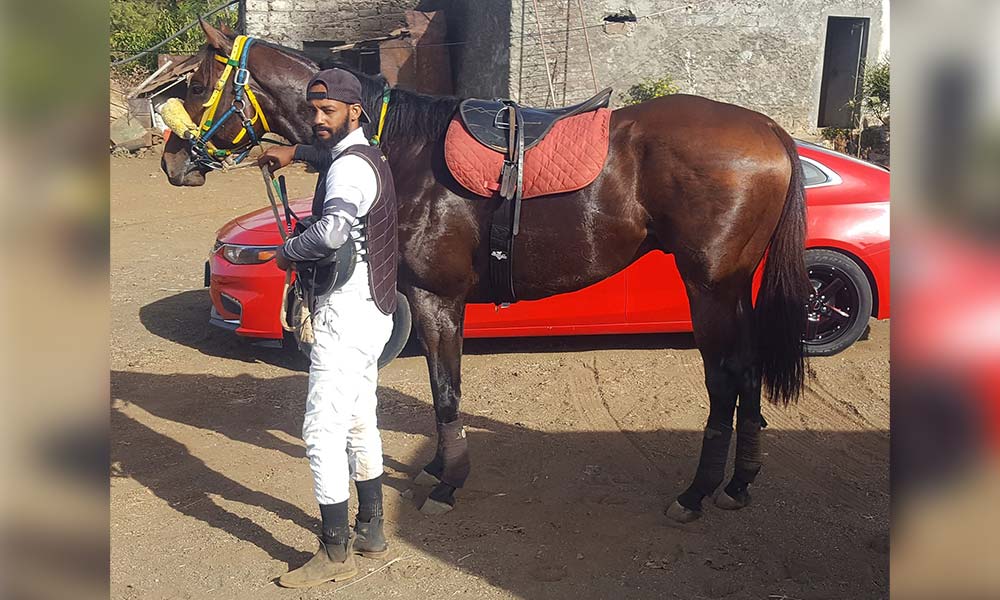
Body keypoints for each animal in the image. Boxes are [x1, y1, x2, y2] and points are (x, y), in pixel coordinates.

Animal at [160, 21, 808, 524]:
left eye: (196, 84)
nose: (170, 161)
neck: (401, 150)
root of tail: (769, 129)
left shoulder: (435, 298)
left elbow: (446, 391)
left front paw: (449, 482)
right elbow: (438, 387)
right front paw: (436, 469)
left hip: (709, 290)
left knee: (724, 379)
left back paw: (696, 492)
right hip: (733, 290)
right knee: (748, 373)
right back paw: (738, 482)